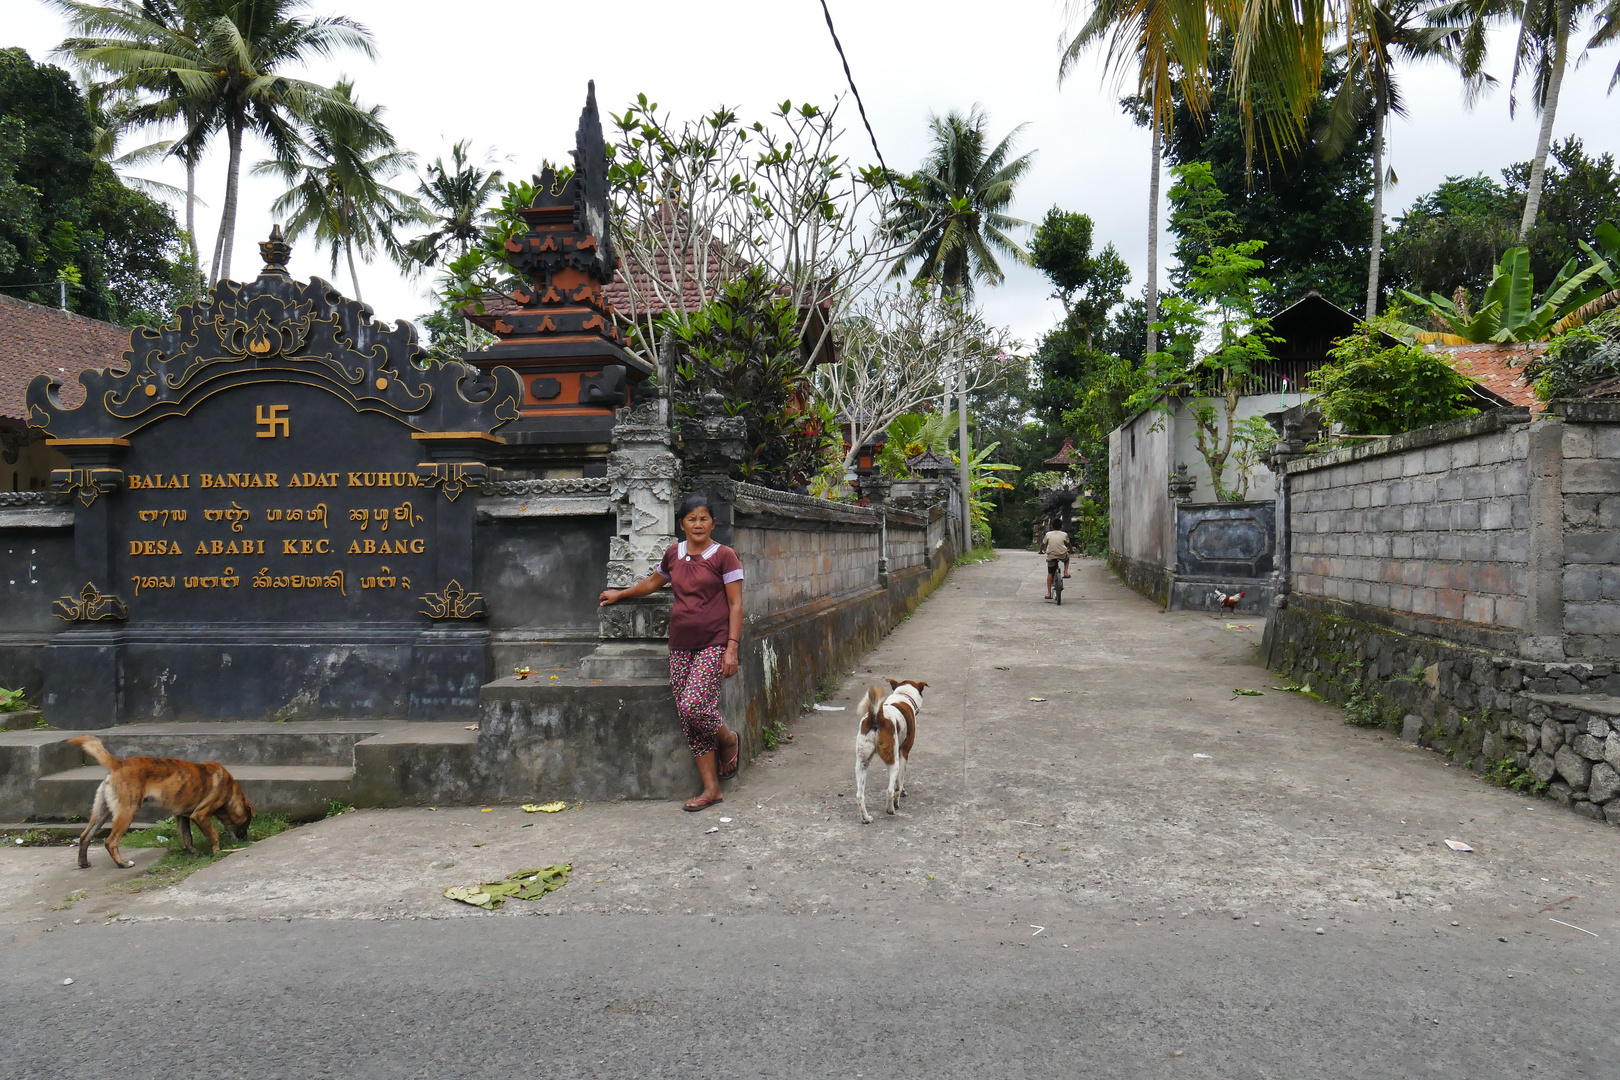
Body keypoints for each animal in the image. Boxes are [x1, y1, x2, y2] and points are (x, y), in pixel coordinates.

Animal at [70, 735, 252, 867]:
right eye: (247, 822)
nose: (246, 839)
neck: (230, 791)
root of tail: (118, 764)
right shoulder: (200, 815)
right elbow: (213, 835)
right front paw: (217, 851)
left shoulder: (182, 816)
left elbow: (187, 838)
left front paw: (194, 853)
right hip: (127, 812)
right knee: (110, 842)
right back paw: (123, 864)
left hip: (101, 812)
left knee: (85, 836)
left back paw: (83, 862)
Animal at [855, 680, 933, 822]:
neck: (903, 695)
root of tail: (877, 716)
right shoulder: (904, 753)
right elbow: (899, 782)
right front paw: (900, 795)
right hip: (893, 761)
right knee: (889, 791)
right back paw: (891, 809)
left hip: (861, 763)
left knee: (859, 795)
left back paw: (866, 818)